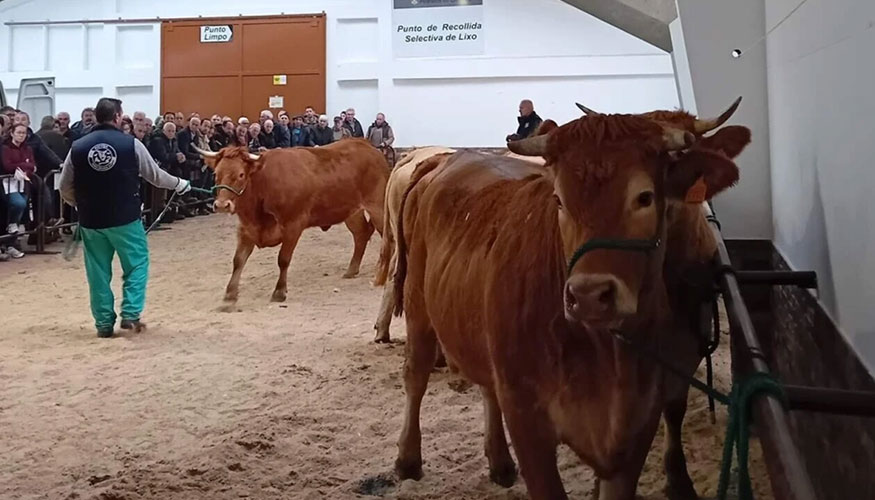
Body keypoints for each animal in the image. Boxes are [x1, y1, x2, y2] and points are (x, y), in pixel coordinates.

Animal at [198, 139, 390, 306]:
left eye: (240, 174)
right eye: (216, 174)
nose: (222, 205)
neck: (264, 185)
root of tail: (369, 147)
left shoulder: (293, 226)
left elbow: (283, 259)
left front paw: (279, 292)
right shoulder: (246, 229)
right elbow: (238, 260)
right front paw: (230, 294)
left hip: (378, 207)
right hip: (351, 212)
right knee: (361, 234)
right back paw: (351, 270)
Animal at [394, 104, 748, 496]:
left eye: (645, 197)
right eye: (558, 200)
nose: (589, 296)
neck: (608, 356)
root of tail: (448, 159)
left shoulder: (642, 417)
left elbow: (673, 409)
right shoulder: (526, 417)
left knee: (486, 386)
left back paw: (500, 461)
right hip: (418, 304)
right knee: (416, 374)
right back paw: (408, 458)